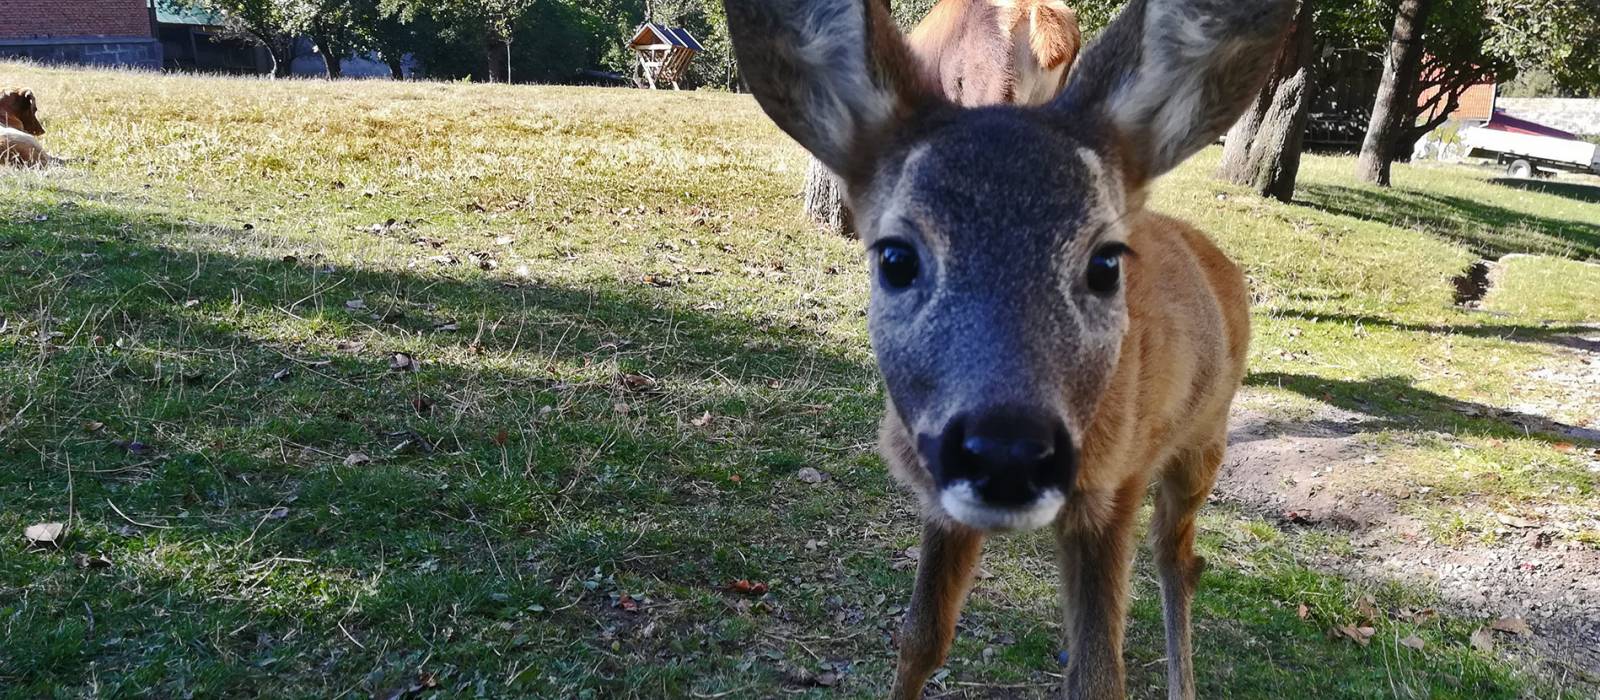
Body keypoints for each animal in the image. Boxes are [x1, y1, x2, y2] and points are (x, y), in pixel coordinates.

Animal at [723, 0, 1286, 693]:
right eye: (895, 257)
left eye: (1105, 263)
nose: (1008, 450)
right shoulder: (942, 499)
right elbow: (920, 638)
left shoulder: (1114, 488)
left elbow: (1099, 678)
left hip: (1204, 441)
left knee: (1180, 558)